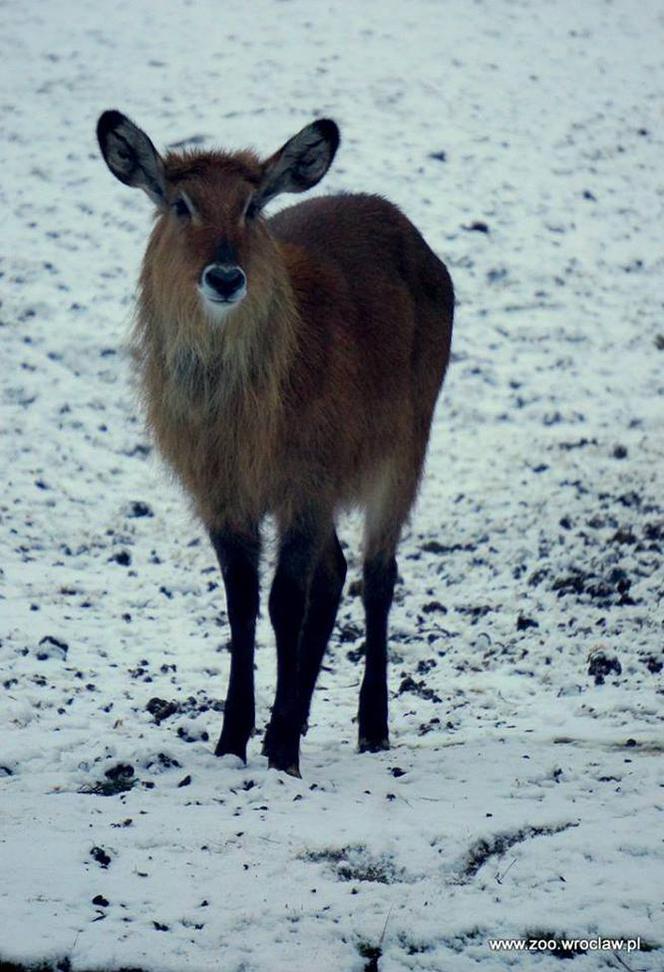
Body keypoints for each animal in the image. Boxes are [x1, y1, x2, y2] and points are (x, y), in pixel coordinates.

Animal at [96, 108, 454, 776]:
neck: (242, 419)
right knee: (336, 570)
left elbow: (286, 600)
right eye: (180, 204)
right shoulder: (221, 492)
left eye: (253, 206)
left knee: (378, 572)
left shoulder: (305, 480)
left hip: (404, 446)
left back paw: (371, 726)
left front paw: (283, 748)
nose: (225, 276)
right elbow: (241, 603)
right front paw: (236, 738)